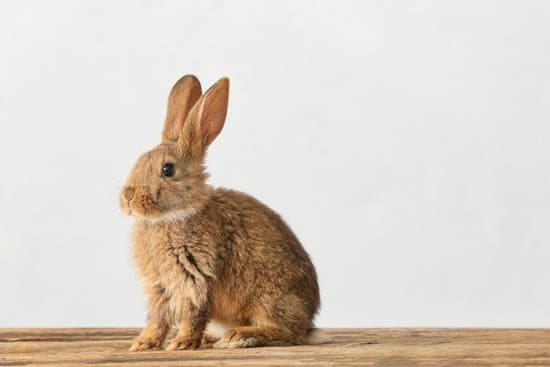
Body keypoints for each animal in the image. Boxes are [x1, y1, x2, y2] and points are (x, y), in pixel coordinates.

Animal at [118, 76, 322, 352]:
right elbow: (157, 319)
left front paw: (182, 343)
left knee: (289, 333)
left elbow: (193, 315)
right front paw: (144, 344)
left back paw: (239, 336)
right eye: (138, 161)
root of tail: (309, 319)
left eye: (168, 170)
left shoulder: (196, 279)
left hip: (269, 299)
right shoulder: (161, 287)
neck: (173, 215)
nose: (127, 198)